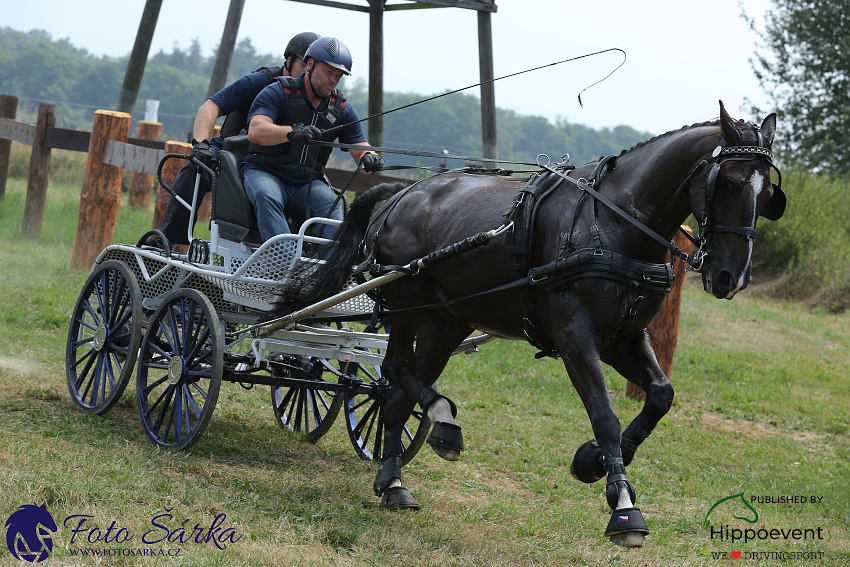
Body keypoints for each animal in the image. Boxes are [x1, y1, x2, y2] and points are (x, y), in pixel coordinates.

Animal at [278, 101, 780, 544]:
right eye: (729, 181)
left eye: (768, 194)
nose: (731, 277)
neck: (614, 224)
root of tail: (403, 192)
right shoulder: (576, 339)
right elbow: (605, 415)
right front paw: (623, 507)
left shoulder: (623, 338)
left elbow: (660, 395)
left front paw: (593, 462)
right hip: (407, 304)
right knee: (395, 370)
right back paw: (440, 425)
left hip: (447, 320)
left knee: (400, 391)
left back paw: (395, 478)